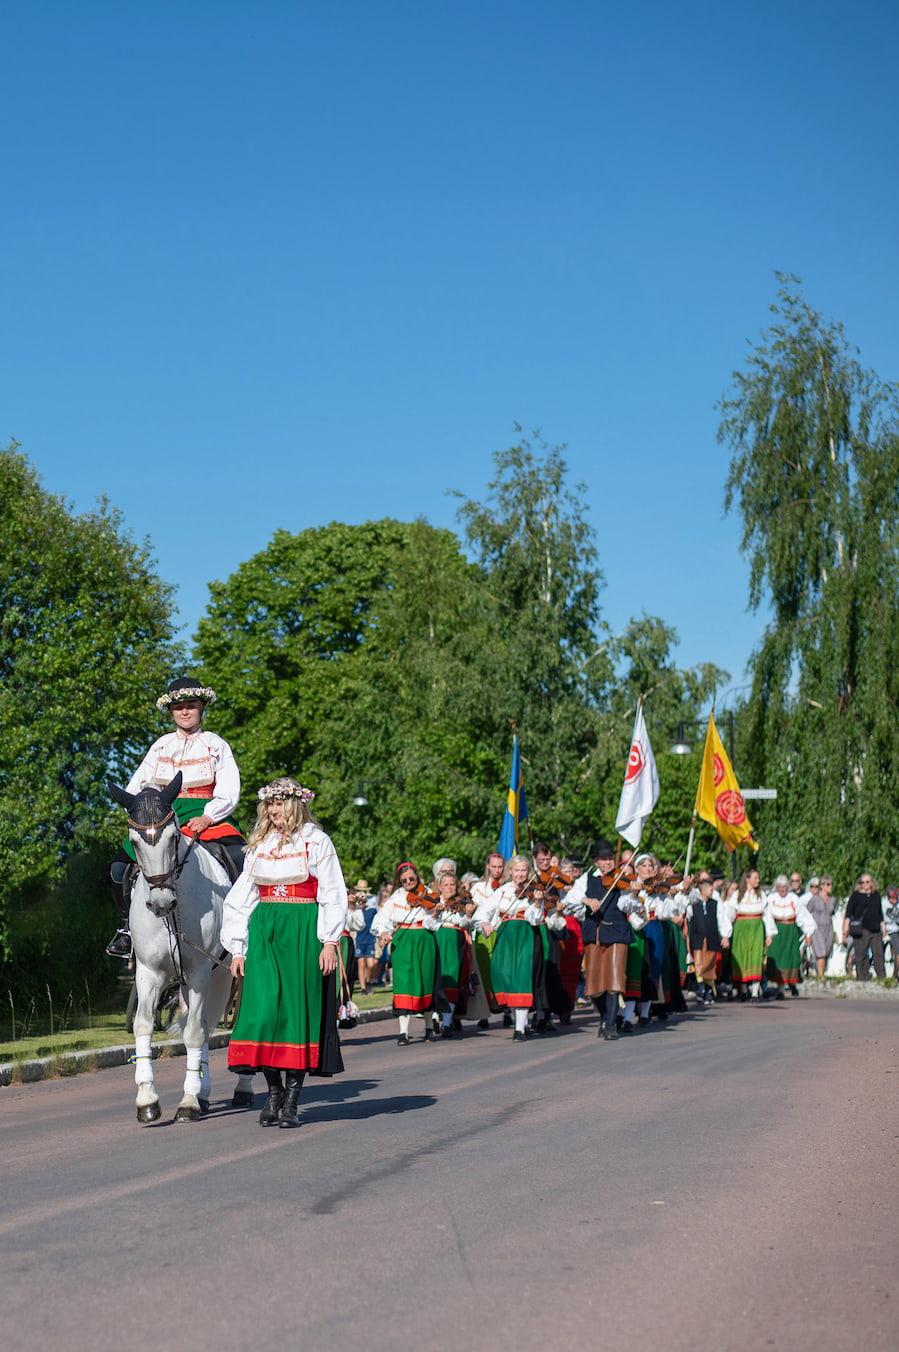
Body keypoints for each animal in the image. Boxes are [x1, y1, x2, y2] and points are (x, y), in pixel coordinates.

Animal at [111, 773, 255, 1119]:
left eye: (174, 837)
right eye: (135, 842)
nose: (161, 902)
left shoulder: (200, 972)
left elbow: (193, 1033)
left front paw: (188, 1102)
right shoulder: (150, 973)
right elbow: (145, 1025)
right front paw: (147, 1099)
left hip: (227, 973)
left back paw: (241, 1089)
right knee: (203, 1023)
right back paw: (203, 1092)